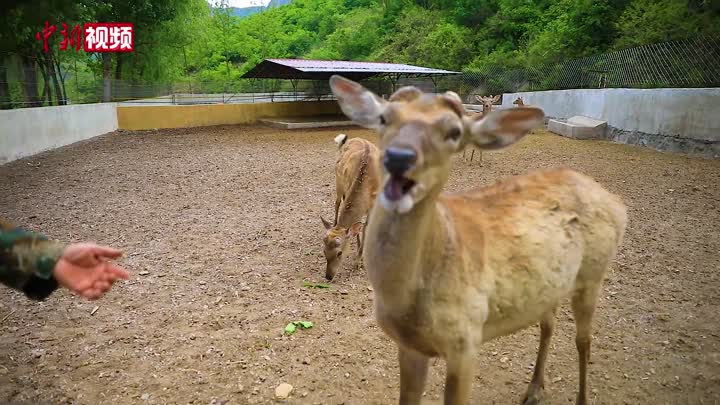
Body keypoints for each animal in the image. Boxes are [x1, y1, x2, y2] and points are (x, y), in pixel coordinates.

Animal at [318, 134, 380, 280]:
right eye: (324, 250)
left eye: (339, 253)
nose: (328, 276)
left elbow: (363, 227)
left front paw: (358, 261)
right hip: (338, 182)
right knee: (337, 202)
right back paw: (334, 223)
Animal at [330, 75, 628, 404]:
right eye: (384, 118)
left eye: (454, 132)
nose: (399, 158)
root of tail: (617, 203)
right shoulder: (408, 346)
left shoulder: (466, 341)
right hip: (552, 285)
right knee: (549, 323)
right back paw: (533, 389)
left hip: (593, 275)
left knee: (583, 339)